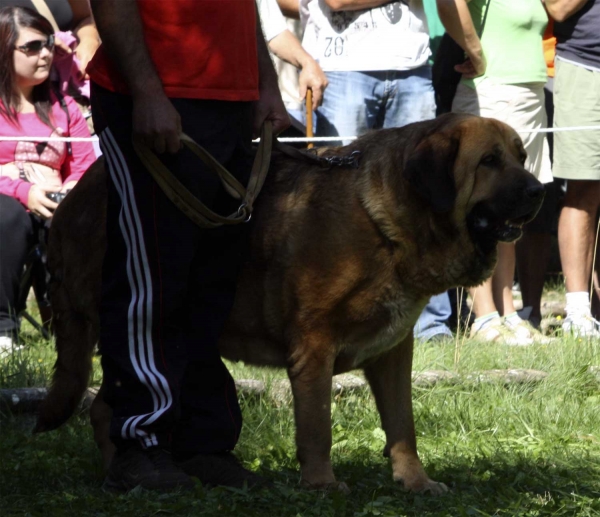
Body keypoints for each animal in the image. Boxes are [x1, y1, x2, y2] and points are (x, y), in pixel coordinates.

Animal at [35, 113, 548, 492]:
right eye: (489, 161)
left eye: (522, 157)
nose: (540, 190)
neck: (388, 225)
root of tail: (67, 205)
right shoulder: (314, 347)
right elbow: (318, 426)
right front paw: (321, 484)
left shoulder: (392, 353)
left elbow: (403, 426)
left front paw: (415, 482)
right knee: (115, 405)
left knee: (103, 408)